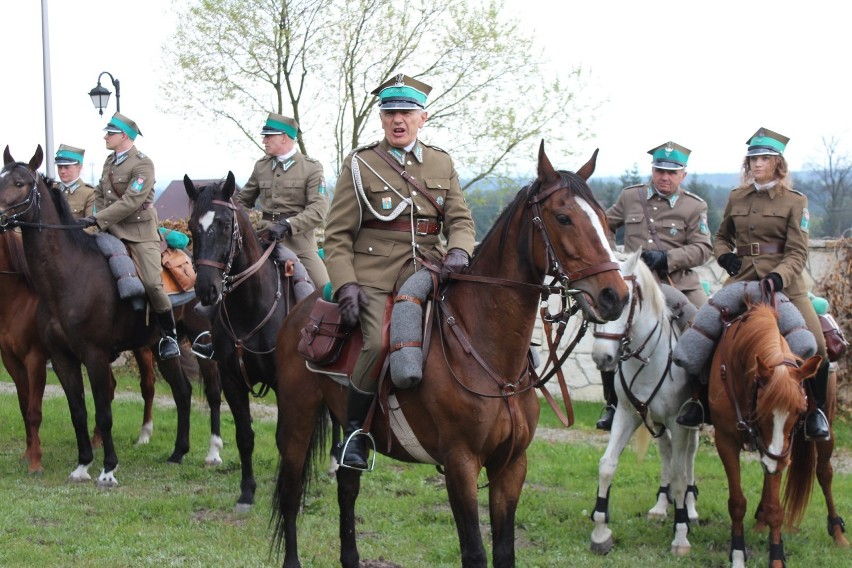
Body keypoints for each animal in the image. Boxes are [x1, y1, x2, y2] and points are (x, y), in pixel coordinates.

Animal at [0, 144, 198, 486]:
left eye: (20, 183)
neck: (68, 276)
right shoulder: (62, 359)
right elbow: (77, 411)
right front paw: (82, 465)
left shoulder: (93, 356)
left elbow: (104, 413)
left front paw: (108, 469)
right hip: (159, 348)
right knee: (183, 392)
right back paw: (177, 453)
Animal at [183, 171, 300, 508]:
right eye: (191, 226)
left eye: (224, 224)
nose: (206, 289)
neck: (252, 306)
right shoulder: (232, 381)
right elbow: (245, 436)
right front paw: (247, 491)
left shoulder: (283, 383)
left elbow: (283, 437)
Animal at [270, 143, 628, 568]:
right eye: (563, 217)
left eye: (607, 222)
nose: (615, 296)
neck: (487, 350)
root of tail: (302, 310)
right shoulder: (460, 464)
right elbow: (474, 552)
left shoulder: (511, 466)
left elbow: (505, 551)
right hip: (298, 419)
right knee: (291, 493)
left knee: (347, 484)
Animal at [588, 251, 704, 556]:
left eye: (625, 299)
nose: (602, 357)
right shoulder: (627, 415)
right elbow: (607, 465)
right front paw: (600, 532)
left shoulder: (678, 422)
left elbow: (679, 476)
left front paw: (681, 536)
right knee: (666, 453)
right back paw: (661, 506)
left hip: (689, 426)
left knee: (688, 458)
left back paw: (690, 509)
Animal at [708, 304, 824, 564]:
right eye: (762, 409)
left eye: (800, 410)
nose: (776, 465)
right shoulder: (725, 441)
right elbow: (737, 502)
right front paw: (738, 553)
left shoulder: (781, 450)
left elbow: (775, 508)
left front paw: (777, 557)